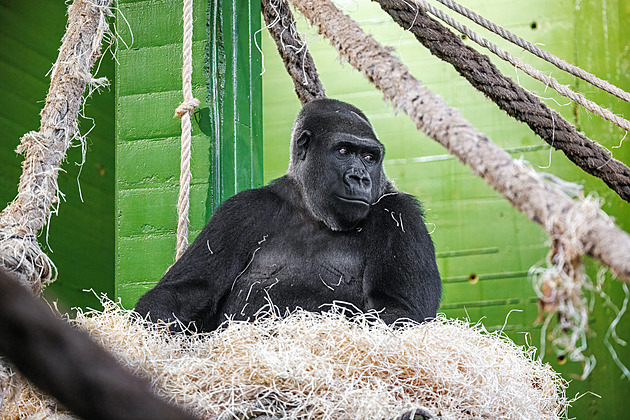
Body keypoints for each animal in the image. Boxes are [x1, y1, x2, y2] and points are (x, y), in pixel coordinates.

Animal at [136, 99, 442, 332]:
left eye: (369, 157)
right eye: (344, 151)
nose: (361, 178)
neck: (311, 208)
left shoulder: (402, 214)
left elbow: (400, 310)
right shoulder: (240, 210)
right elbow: (190, 289)